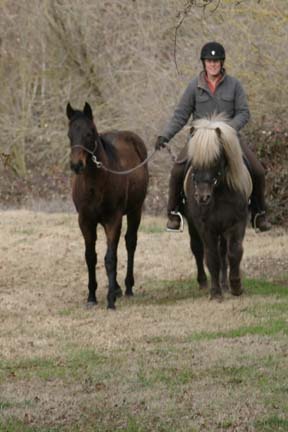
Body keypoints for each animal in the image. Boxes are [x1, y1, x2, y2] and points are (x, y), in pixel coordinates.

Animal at [66, 102, 148, 308]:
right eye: (70, 134)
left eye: (89, 133)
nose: (77, 165)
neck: (95, 183)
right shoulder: (86, 221)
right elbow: (91, 257)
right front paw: (91, 297)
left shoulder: (113, 219)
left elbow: (110, 259)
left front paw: (110, 300)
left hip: (135, 210)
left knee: (130, 243)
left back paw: (127, 287)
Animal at [182, 114, 252, 300]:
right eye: (192, 161)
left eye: (215, 160)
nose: (202, 197)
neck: (219, 192)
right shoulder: (206, 227)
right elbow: (211, 257)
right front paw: (215, 293)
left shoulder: (237, 223)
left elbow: (234, 253)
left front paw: (236, 286)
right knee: (198, 250)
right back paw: (204, 283)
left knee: (224, 254)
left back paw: (225, 285)